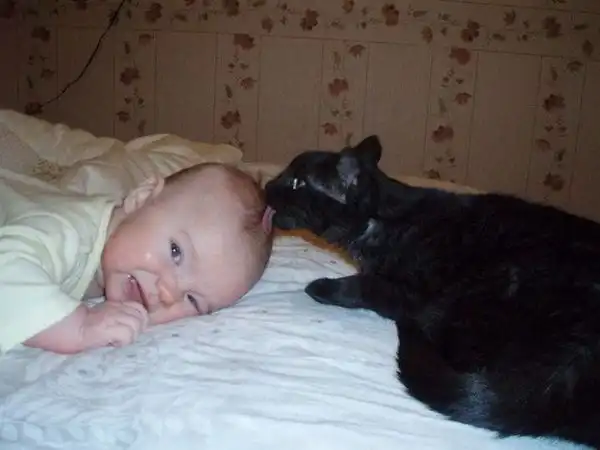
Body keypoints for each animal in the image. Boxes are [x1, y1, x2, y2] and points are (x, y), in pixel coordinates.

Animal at [264, 135, 600, 449]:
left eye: (297, 182)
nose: (266, 184)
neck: (383, 221)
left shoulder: (408, 292)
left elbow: (365, 285)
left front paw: (322, 286)